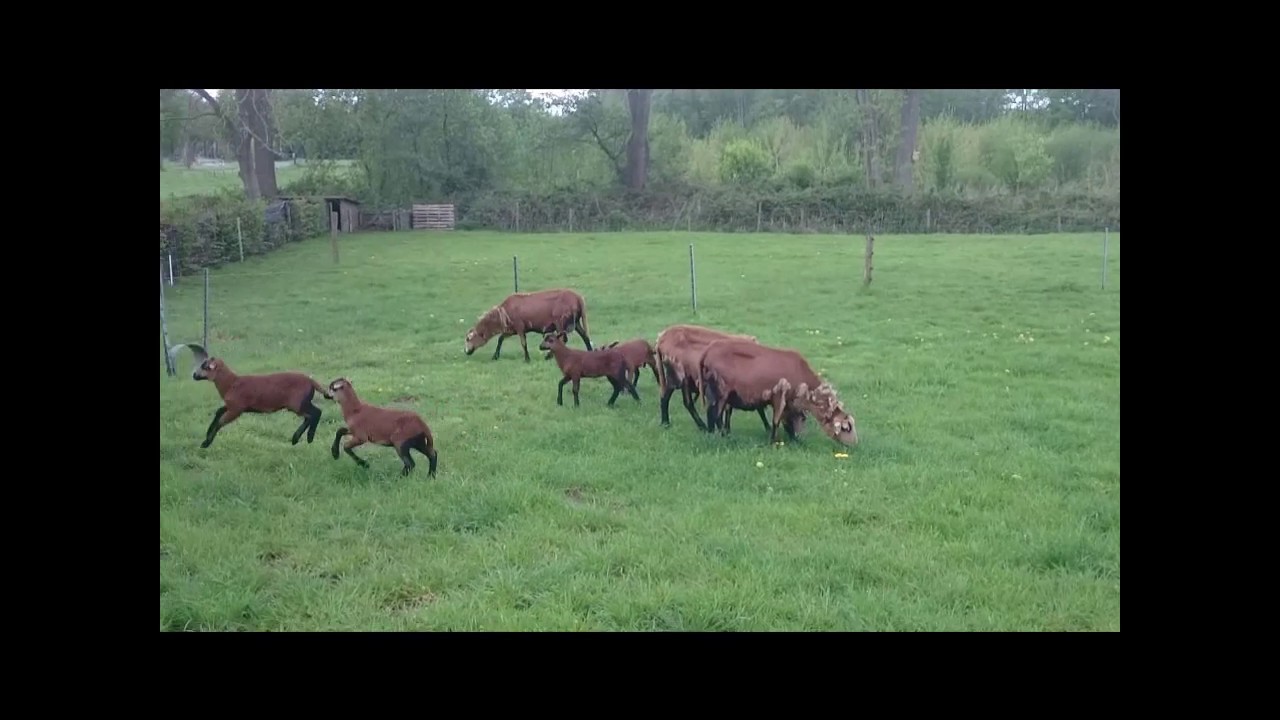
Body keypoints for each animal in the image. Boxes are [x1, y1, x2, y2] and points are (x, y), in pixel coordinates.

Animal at [168, 343, 332, 449]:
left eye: (205, 366)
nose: (194, 375)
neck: (231, 383)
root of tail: (311, 381)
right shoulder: (232, 405)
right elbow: (218, 412)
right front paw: (207, 434)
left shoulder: (236, 409)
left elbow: (221, 421)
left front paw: (206, 443)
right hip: (301, 403)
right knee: (313, 414)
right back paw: (298, 439)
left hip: (296, 404)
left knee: (315, 413)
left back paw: (305, 438)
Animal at [464, 288, 593, 361]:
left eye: (468, 339)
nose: (466, 352)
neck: (502, 315)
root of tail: (578, 298)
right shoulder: (511, 329)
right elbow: (500, 339)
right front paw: (495, 356)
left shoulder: (520, 327)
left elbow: (523, 343)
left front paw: (527, 359)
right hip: (575, 322)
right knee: (585, 336)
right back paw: (590, 352)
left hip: (560, 322)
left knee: (562, 339)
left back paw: (549, 356)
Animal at [698, 338, 859, 446]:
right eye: (847, 428)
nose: (855, 445)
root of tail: (707, 352)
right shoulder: (779, 395)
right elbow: (776, 421)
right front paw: (773, 441)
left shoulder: (790, 403)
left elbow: (790, 421)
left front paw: (795, 439)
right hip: (720, 391)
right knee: (714, 415)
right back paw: (721, 437)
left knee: (713, 414)